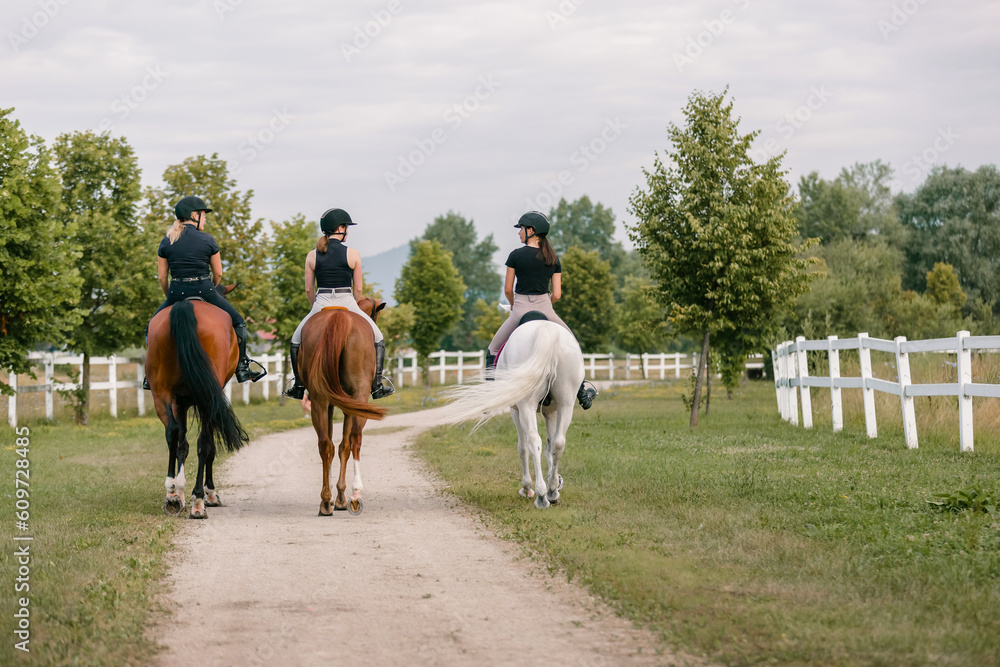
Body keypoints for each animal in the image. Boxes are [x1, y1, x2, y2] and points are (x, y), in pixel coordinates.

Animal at [145, 288, 249, 519]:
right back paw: (199, 500)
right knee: (204, 443)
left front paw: (179, 493)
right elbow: (208, 447)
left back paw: (171, 493)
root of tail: (186, 304)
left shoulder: (180, 403)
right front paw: (208, 494)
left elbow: (182, 444)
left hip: (161, 393)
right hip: (205, 399)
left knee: (172, 433)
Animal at [299, 296, 387, 516]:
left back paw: (325, 503)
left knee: (325, 444)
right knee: (354, 440)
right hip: (358, 398)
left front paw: (331, 498)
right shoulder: (351, 405)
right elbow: (345, 446)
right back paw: (353, 496)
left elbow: (333, 446)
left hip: (319, 400)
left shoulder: (331, 405)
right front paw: (340, 497)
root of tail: (337, 317)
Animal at [441, 318, 585, 509]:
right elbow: (550, 448)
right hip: (566, 404)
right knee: (558, 443)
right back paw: (552, 491)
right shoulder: (552, 412)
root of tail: (546, 328)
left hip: (526, 406)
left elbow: (523, 448)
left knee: (533, 441)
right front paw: (553, 485)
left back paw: (540, 495)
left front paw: (527, 487)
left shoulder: (515, 411)